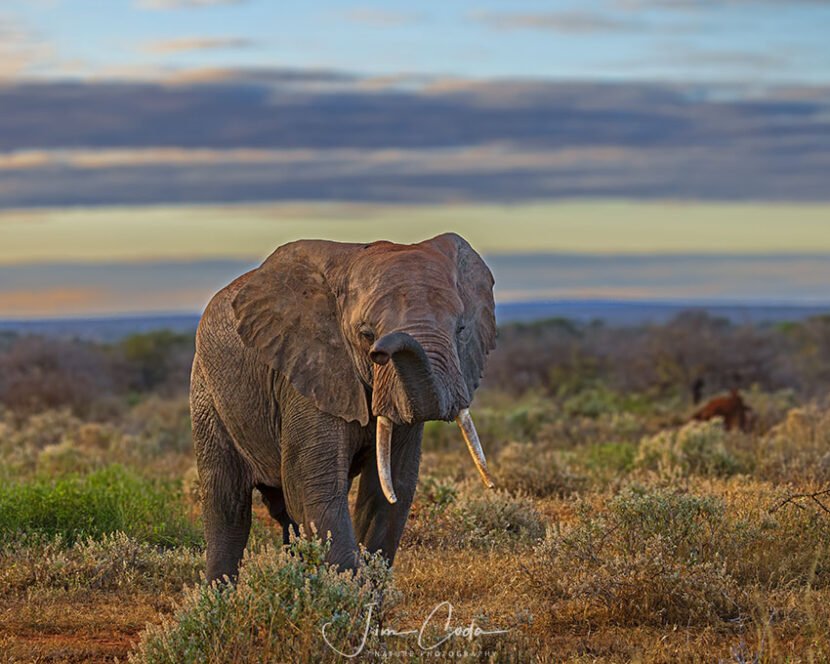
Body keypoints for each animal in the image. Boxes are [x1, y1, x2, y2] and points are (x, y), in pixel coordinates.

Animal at [190, 232, 497, 583]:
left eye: (461, 329)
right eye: (366, 334)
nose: (381, 352)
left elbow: (390, 491)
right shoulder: (308, 372)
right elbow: (315, 489)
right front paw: (350, 591)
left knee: (285, 514)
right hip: (207, 394)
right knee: (227, 506)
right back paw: (220, 593)